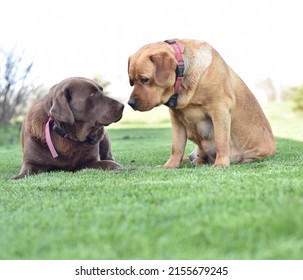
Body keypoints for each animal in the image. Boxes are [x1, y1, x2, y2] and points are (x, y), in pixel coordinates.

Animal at [127, 38, 276, 167]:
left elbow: (221, 140)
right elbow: (176, 147)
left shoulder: (219, 109)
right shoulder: (175, 118)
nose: (130, 103)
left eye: (144, 79)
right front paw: (170, 165)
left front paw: (221, 164)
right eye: (132, 81)